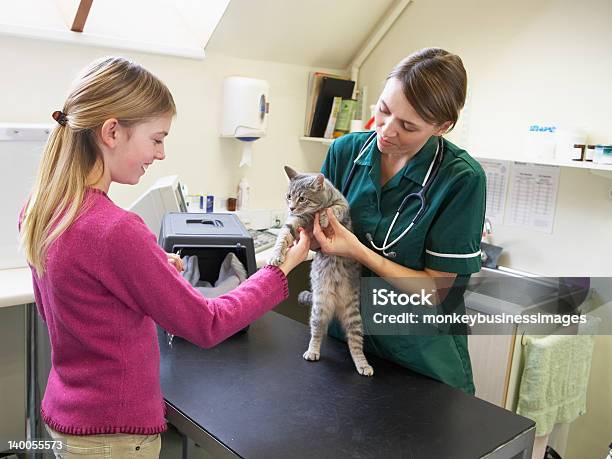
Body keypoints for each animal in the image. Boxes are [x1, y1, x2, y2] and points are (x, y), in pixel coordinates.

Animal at [268, 167, 372, 376]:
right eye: (289, 196)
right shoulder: (295, 222)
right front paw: (276, 255)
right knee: (317, 333)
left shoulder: (342, 203)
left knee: (355, 345)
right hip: (319, 310)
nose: (291, 208)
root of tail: (336, 303)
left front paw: (324, 217)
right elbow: (283, 237)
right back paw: (312, 351)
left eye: (302, 198)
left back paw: (363, 364)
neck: (312, 213)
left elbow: (333, 209)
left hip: (355, 318)